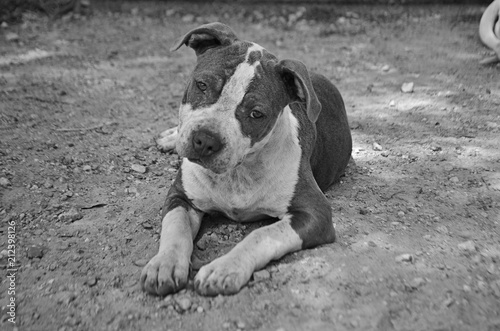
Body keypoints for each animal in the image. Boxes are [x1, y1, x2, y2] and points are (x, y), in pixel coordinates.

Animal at [140, 23, 352, 298]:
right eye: (202, 85)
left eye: (256, 114)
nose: (205, 140)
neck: (238, 172)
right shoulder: (181, 196)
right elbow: (175, 228)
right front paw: (164, 264)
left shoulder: (316, 213)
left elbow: (262, 235)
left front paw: (225, 268)